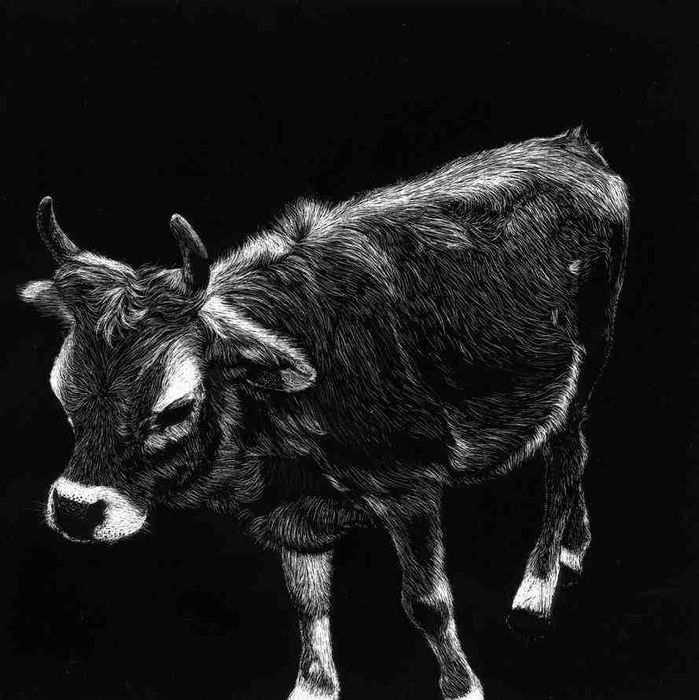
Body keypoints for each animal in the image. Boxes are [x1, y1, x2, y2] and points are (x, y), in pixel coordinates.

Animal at [20, 127, 628, 700]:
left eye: (176, 408)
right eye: (62, 394)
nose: (76, 510)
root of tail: (570, 147)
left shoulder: (410, 489)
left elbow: (427, 602)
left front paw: (464, 687)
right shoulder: (294, 513)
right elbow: (308, 601)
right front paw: (313, 686)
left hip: (580, 374)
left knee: (565, 460)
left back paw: (539, 588)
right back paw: (573, 547)